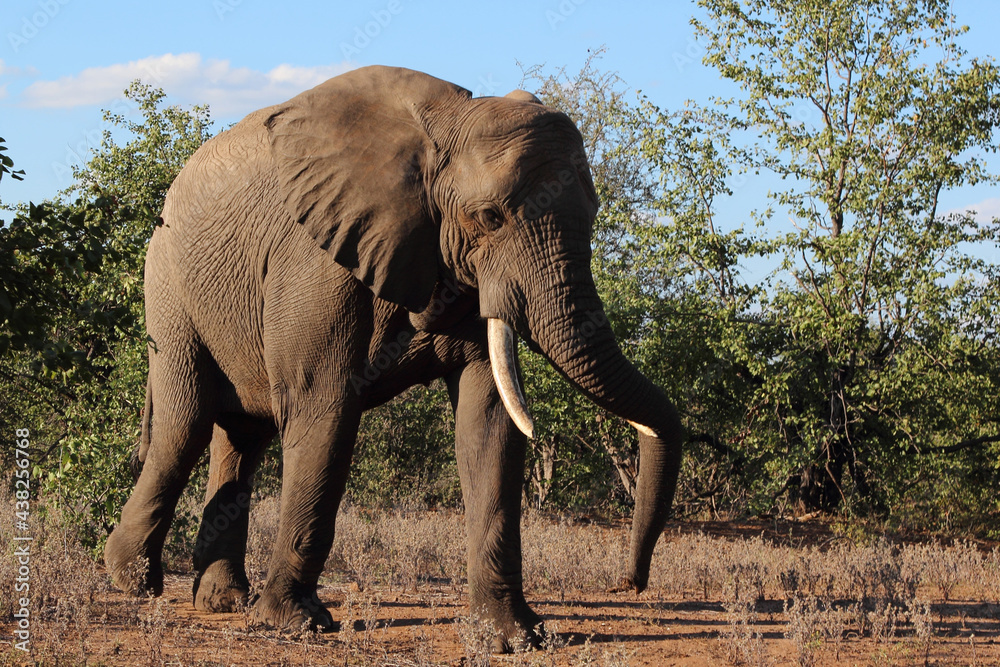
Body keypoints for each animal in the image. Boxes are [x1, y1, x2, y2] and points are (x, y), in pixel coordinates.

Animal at [103, 65, 683, 651]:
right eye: (489, 217)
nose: (628, 582)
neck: (442, 129)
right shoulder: (316, 261)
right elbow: (324, 410)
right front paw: (294, 625)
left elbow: (489, 422)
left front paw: (515, 638)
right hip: (167, 286)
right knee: (186, 426)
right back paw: (131, 580)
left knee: (243, 435)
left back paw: (222, 600)